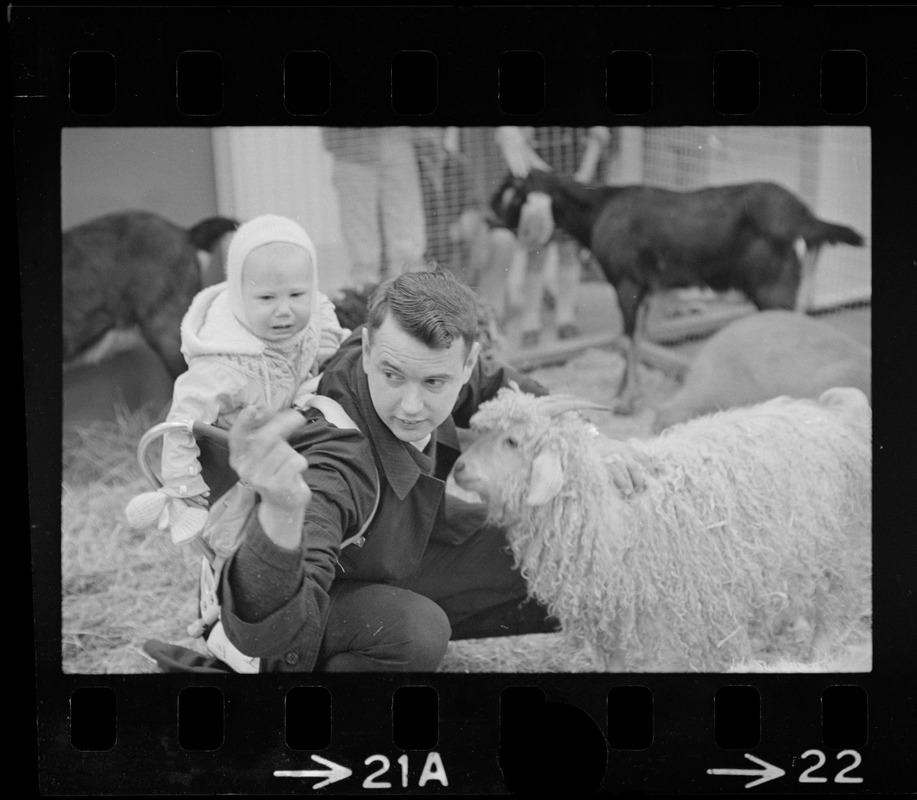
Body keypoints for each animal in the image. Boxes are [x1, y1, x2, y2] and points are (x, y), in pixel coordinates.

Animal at [454, 386, 868, 668]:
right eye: (477, 433)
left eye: (512, 441)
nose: (458, 468)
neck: (612, 516)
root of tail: (835, 412)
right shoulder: (613, 630)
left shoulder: (683, 624)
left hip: (839, 556)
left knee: (834, 615)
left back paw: (815, 659)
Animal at [490, 172, 864, 416]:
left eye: (516, 196)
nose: (491, 216)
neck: (600, 209)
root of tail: (804, 217)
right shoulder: (647, 290)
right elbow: (638, 338)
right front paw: (623, 392)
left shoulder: (627, 283)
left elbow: (629, 339)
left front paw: (624, 402)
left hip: (774, 287)